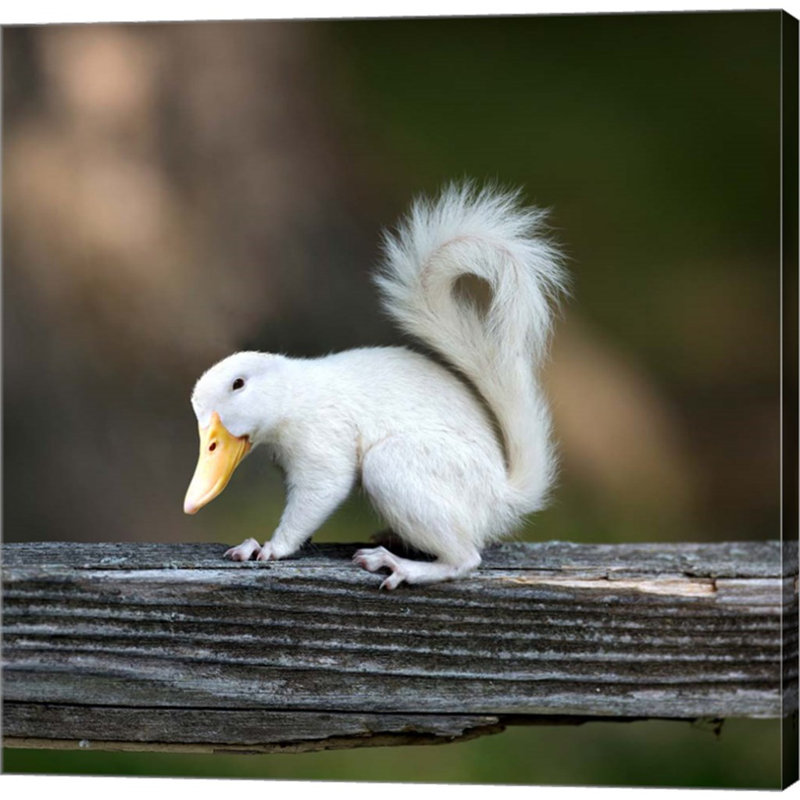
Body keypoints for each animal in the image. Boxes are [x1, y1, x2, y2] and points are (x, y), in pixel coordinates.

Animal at [183, 183, 567, 589]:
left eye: (238, 384)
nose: (210, 449)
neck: (295, 394)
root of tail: (500, 497)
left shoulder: (323, 439)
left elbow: (321, 492)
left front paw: (269, 548)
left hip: (397, 465)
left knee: (465, 558)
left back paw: (403, 565)